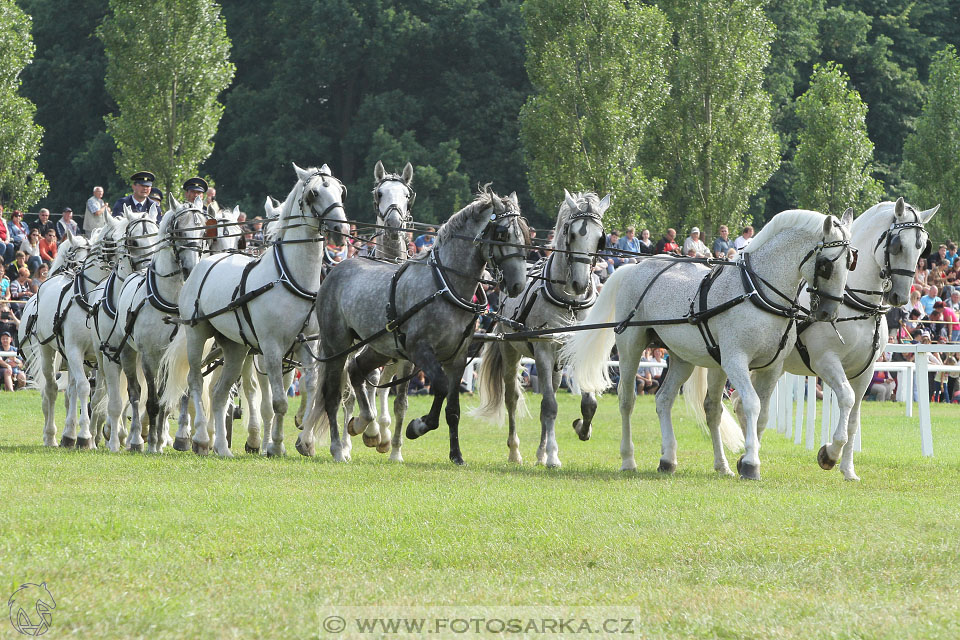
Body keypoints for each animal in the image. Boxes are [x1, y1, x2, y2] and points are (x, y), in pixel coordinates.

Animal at [160, 162, 348, 458]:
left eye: (341, 191)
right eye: (314, 193)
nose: (340, 230)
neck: (289, 277)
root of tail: (202, 264)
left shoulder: (306, 345)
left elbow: (310, 387)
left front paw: (304, 440)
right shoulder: (270, 348)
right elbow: (278, 402)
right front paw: (276, 445)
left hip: (235, 347)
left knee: (219, 393)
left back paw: (222, 447)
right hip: (197, 334)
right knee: (195, 382)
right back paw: (200, 438)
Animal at [564, 210, 856, 480]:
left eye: (851, 262)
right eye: (826, 265)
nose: (829, 312)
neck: (758, 292)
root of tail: (634, 267)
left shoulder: (771, 367)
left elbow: (761, 415)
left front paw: (743, 461)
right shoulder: (735, 361)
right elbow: (751, 404)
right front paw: (751, 464)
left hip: (682, 358)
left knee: (666, 399)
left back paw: (673, 459)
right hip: (630, 347)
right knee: (627, 399)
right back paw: (628, 459)